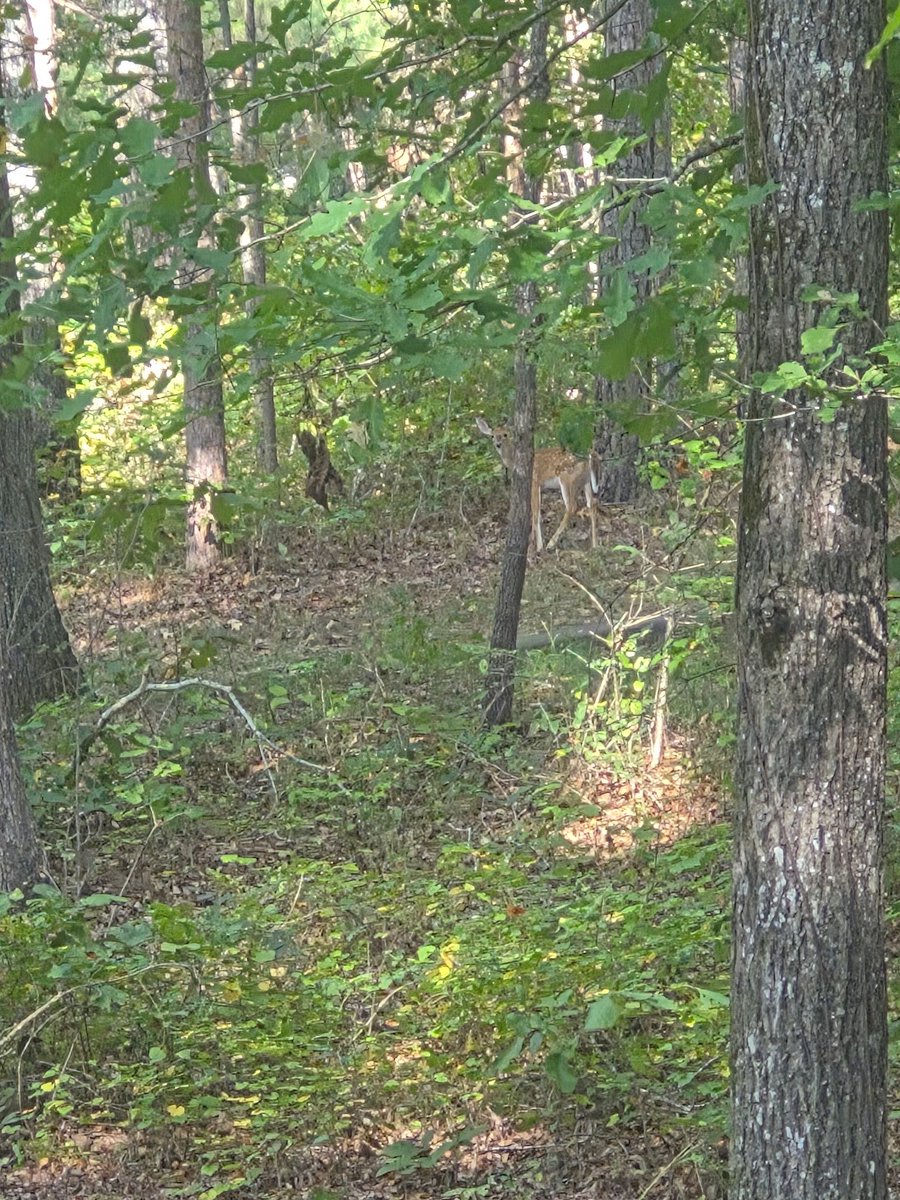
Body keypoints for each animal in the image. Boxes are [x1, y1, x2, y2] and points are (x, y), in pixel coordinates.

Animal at [476, 417, 599, 552]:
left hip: (567, 478)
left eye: (505, 434)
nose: (498, 444)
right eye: (492, 436)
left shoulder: (535, 482)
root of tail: (588, 456)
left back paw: (551, 543)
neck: (513, 461)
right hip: (586, 481)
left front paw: (536, 546)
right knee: (592, 504)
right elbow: (537, 513)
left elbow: (535, 513)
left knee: (572, 507)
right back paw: (595, 545)